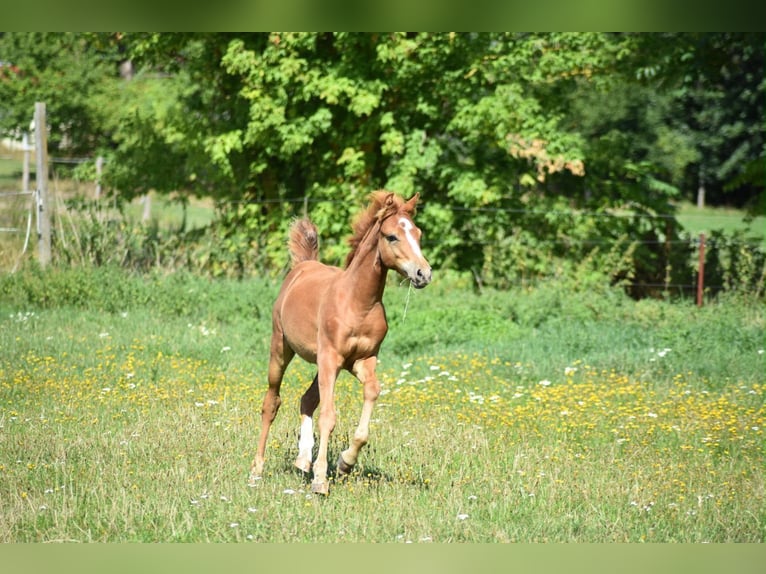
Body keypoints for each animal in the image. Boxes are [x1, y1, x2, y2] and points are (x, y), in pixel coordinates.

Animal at [249, 191, 432, 495]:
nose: (423, 274)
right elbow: (328, 415)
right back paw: (257, 470)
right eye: (392, 236)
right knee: (271, 402)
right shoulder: (331, 358)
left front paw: (345, 463)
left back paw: (303, 459)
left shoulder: (360, 361)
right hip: (282, 349)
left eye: (418, 234)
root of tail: (302, 266)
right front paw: (321, 480)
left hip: (322, 363)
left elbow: (372, 393)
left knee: (306, 399)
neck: (357, 302)